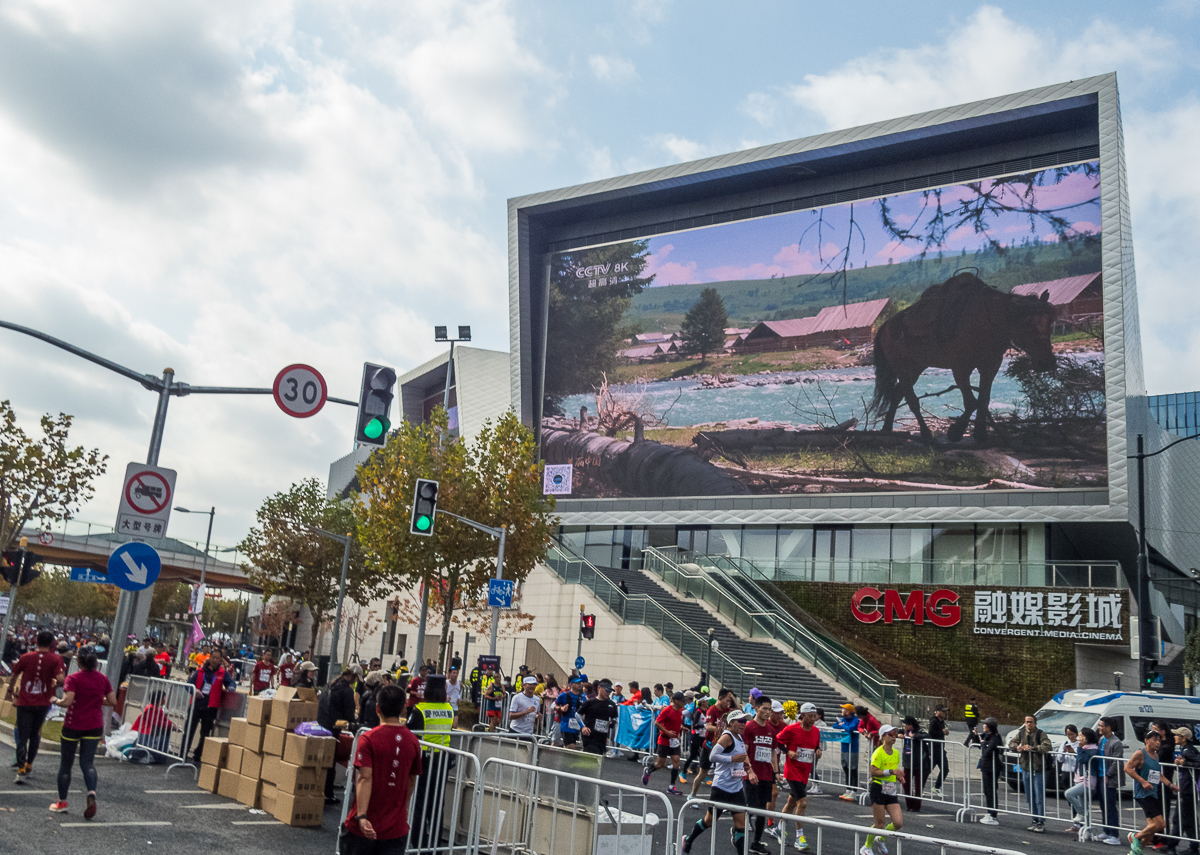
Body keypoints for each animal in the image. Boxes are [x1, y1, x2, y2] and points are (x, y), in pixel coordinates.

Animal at [544, 158, 1104, 501]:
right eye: (1034, 323)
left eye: (1052, 323)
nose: (1049, 361)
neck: (990, 320)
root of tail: (885, 327)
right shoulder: (963, 363)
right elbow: (968, 400)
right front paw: (956, 433)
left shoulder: (984, 364)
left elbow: (983, 399)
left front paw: (979, 433)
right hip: (909, 361)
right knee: (907, 395)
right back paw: (913, 435)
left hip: (912, 363)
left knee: (901, 394)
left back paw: (895, 433)